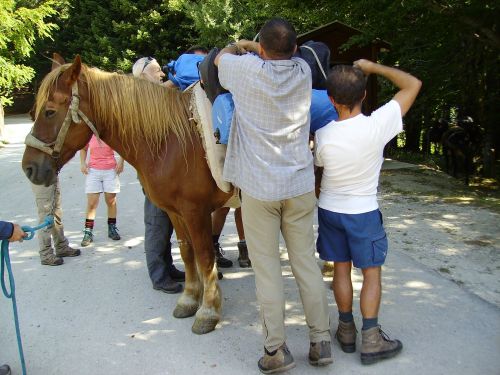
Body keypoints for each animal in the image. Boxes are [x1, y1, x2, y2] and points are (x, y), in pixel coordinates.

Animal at [22, 53, 234, 334]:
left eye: (49, 112)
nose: (29, 168)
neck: (171, 142)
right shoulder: (176, 212)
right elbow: (188, 253)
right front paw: (189, 300)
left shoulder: (195, 212)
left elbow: (204, 256)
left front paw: (208, 312)